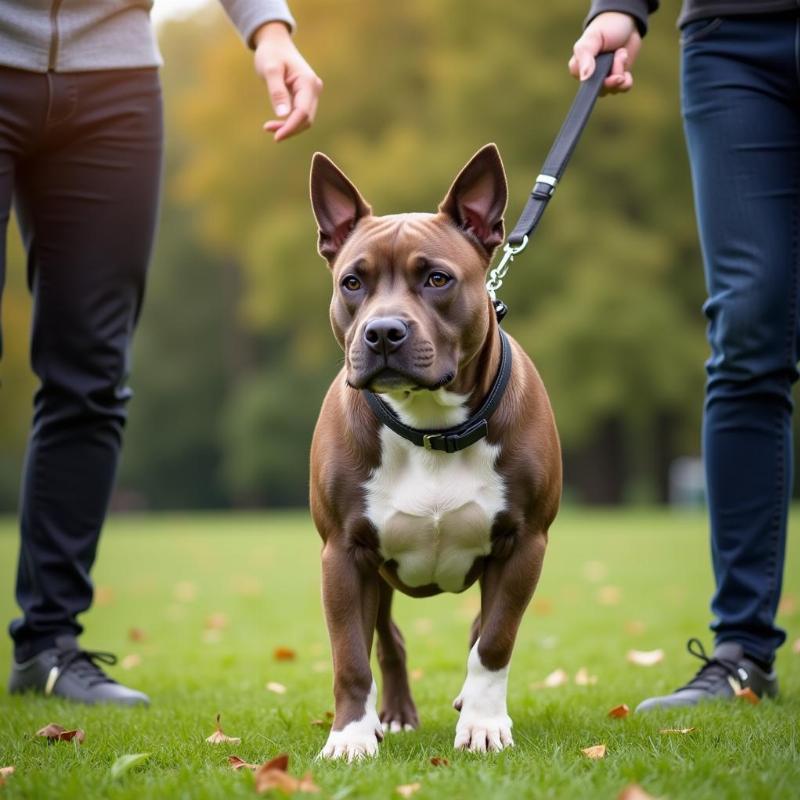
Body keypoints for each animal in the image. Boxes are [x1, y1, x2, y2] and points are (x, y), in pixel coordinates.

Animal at [310, 145, 560, 764]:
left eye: (437, 278)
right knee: (388, 639)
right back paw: (391, 717)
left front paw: (483, 725)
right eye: (353, 282)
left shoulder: (525, 545)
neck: (431, 427)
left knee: (478, 632)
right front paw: (349, 737)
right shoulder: (342, 554)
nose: (382, 332)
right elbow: (350, 657)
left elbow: (494, 642)